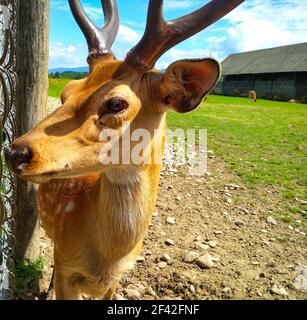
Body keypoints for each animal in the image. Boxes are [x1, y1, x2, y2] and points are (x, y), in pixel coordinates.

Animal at [4, 0, 245, 300]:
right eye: (66, 92)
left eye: (116, 103)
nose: (15, 152)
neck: (108, 258)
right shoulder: (66, 266)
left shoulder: (118, 279)